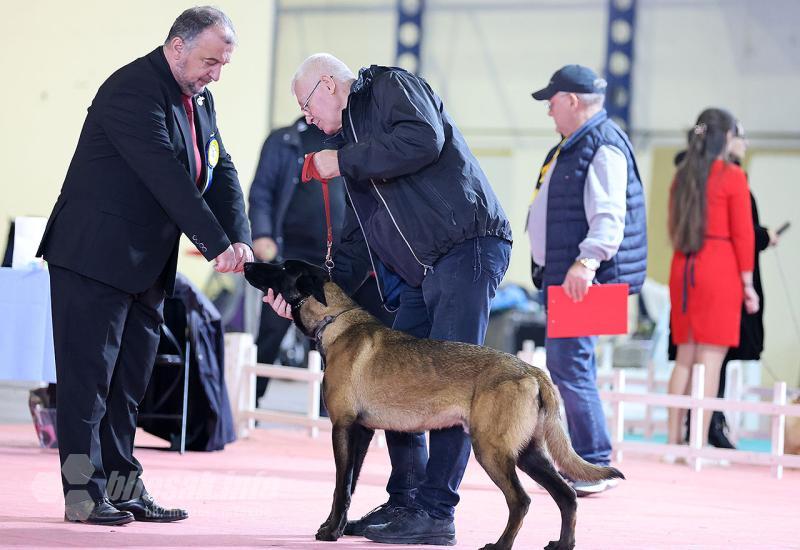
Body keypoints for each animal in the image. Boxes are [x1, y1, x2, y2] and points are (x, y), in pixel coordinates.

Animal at [244, 260, 624, 550]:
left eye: (281, 268)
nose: (248, 264)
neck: (336, 320)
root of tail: (532, 370)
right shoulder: (362, 432)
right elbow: (349, 485)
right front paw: (336, 526)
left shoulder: (343, 428)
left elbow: (340, 486)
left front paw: (330, 532)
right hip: (528, 452)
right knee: (566, 496)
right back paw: (563, 544)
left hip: (492, 450)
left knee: (521, 501)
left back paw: (500, 545)